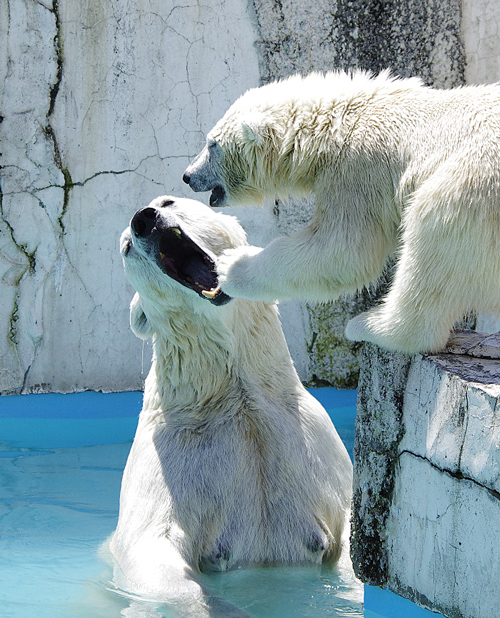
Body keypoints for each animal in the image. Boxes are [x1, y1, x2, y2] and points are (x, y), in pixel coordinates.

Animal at [113, 196, 354, 616]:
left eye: (168, 201)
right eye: (127, 248)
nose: (143, 219)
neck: (235, 394)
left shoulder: (311, 441)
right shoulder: (172, 456)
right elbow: (151, 549)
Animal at [185, 71, 500, 352]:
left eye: (212, 144)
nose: (188, 176)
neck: (336, 124)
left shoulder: (356, 171)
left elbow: (340, 251)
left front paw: (231, 265)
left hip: (470, 186)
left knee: (431, 238)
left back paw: (370, 327)